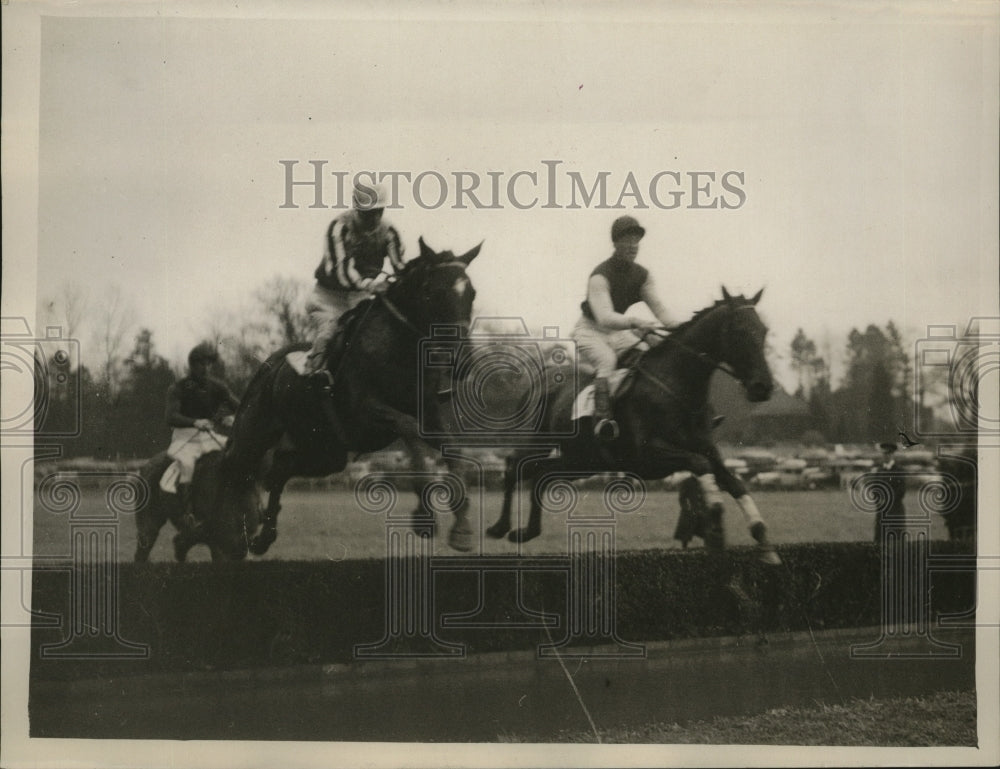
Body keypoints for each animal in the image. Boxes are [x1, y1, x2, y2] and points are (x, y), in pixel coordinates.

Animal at [224, 237, 480, 556]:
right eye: (432, 292)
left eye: (471, 293)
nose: (463, 361)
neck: (400, 348)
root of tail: (270, 364)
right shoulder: (365, 411)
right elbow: (409, 429)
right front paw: (424, 516)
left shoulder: (430, 413)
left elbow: (452, 448)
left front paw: (462, 529)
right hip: (254, 435)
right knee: (235, 470)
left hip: (326, 452)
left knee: (281, 469)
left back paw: (263, 536)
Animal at [488, 288, 784, 564]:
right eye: (739, 330)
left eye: (764, 330)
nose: (763, 387)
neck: (676, 387)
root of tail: (540, 381)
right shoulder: (647, 456)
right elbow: (700, 465)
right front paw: (715, 527)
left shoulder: (709, 451)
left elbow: (736, 484)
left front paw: (766, 548)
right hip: (543, 444)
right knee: (515, 465)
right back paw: (499, 527)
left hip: (581, 462)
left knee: (540, 474)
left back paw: (526, 531)